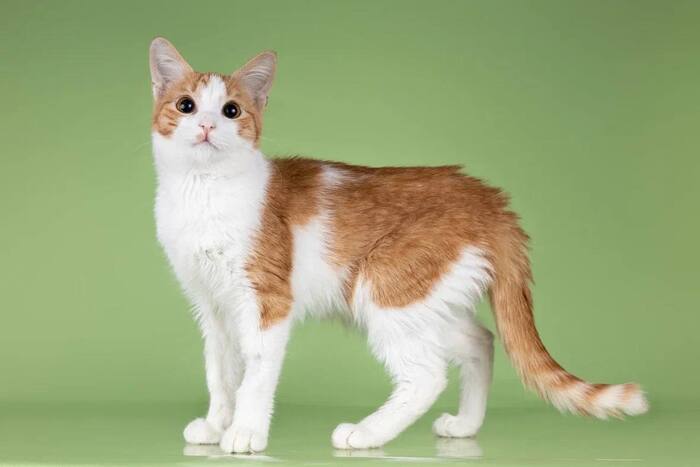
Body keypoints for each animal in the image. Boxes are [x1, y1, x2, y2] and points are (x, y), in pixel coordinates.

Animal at [149, 37, 648, 454]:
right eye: (187, 106)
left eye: (231, 111)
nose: (207, 125)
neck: (204, 192)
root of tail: (487, 197)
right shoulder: (213, 306)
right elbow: (220, 371)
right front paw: (217, 425)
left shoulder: (266, 301)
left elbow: (254, 371)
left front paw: (245, 433)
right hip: (426, 300)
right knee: (481, 341)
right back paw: (465, 425)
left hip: (384, 289)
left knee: (426, 376)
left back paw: (366, 433)